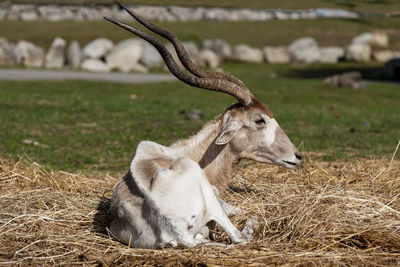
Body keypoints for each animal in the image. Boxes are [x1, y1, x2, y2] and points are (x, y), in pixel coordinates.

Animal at [104, 1, 302, 249]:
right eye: (259, 120)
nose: (297, 156)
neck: (191, 152)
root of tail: (175, 229)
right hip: (211, 200)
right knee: (238, 236)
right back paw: (254, 222)